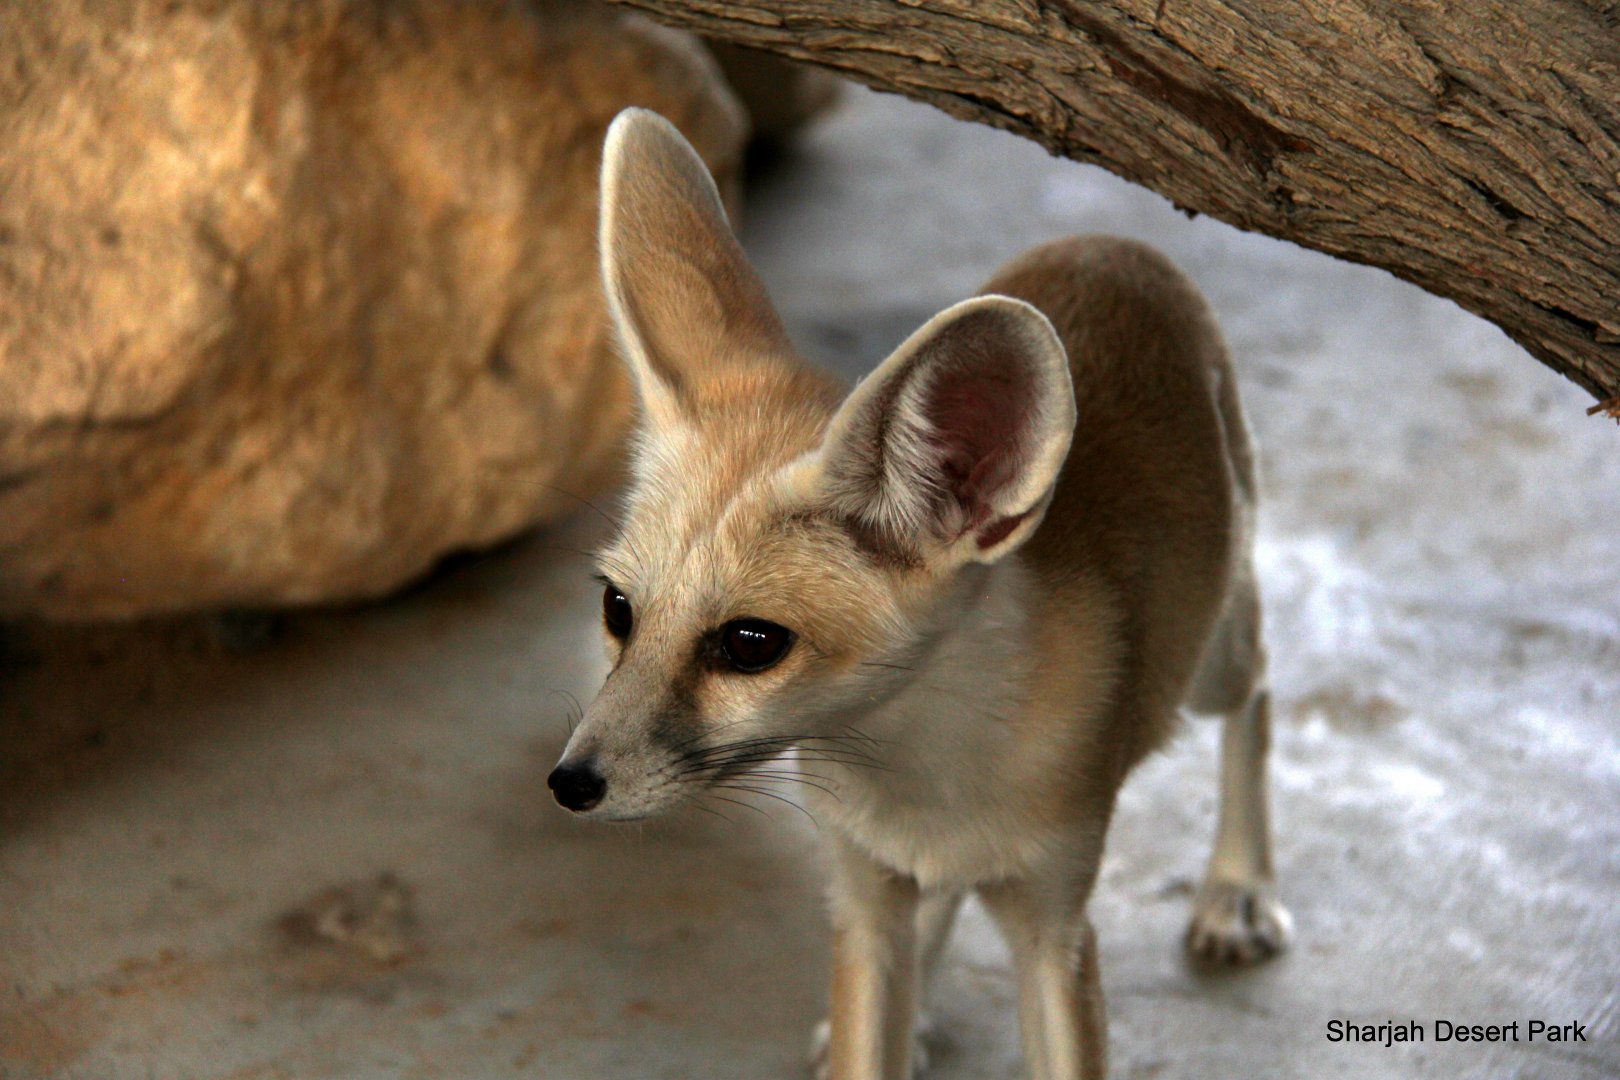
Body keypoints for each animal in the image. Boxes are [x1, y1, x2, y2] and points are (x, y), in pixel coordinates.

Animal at [548, 107, 1292, 1080]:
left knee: (1261, 686)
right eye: (618, 611)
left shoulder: (1057, 923)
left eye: (750, 644)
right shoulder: (863, 901)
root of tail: (1113, 242)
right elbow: (875, 1024)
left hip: (1209, 659)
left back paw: (1237, 885)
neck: (927, 770)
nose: (569, 784)